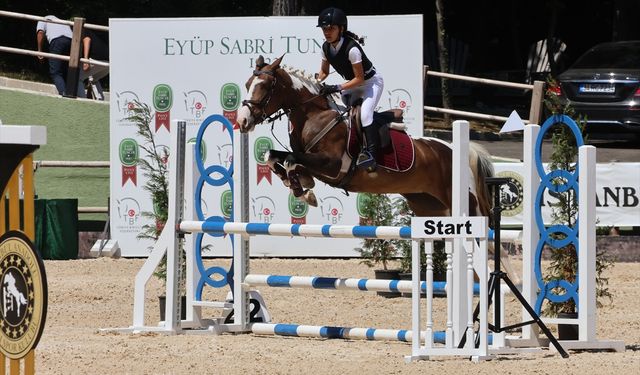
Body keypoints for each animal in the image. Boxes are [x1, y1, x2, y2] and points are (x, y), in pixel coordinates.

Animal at [238, 55, 492, 219]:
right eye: (248, 84)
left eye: (265, 86)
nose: (241, 121)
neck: (313, 114)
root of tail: (453, 149)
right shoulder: (306, 157)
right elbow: (273, 156)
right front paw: (298, 185)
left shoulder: (332, 165)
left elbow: (292, 160)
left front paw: (304, 189)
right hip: (427, 205)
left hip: (465, 204)